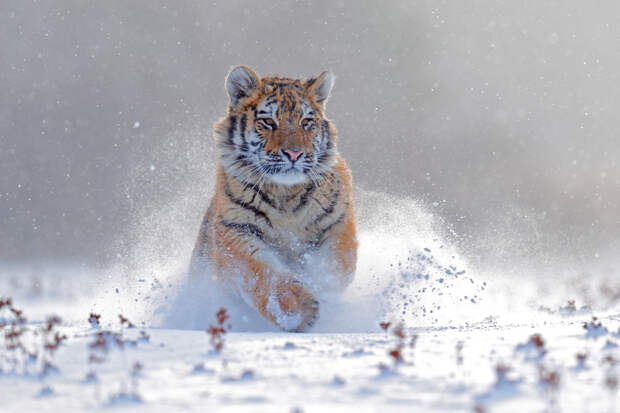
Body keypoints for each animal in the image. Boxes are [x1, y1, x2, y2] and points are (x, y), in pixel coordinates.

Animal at [190, 65, 358, 332]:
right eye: (268, 122)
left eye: (306, 122)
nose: (294, 153)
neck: (285, 193)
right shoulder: (236, 231)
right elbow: (262, 272)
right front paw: (299, 311)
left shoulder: (338, 223)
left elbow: (335, 268)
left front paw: (321, 288)